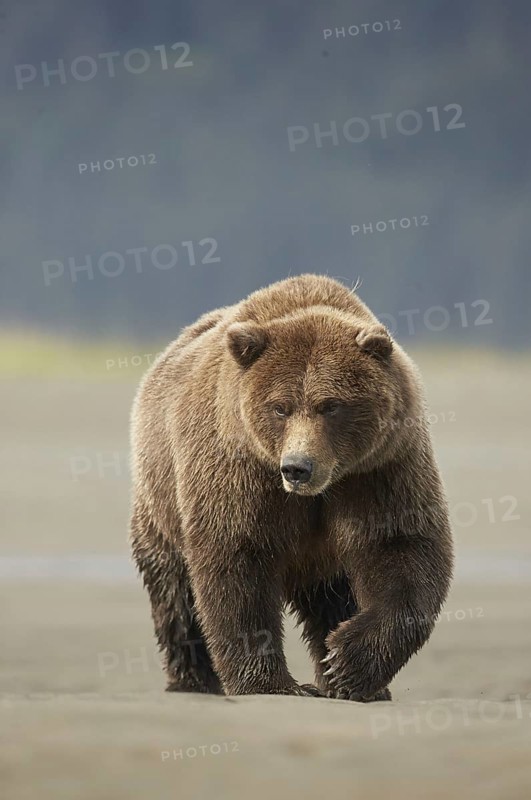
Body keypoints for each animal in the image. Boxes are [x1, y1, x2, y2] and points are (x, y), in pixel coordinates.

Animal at [129, 273, 453, 700]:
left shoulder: (380, 468)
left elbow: (402, 548)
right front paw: (271, 683)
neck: (322, 489)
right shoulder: (239, 471)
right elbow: (238, 560)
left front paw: (345, 664)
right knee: (173, 588)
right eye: (280, 407)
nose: (297, 468)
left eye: (330, 405)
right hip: (159, 499)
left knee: (331, 594)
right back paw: (192, 678)